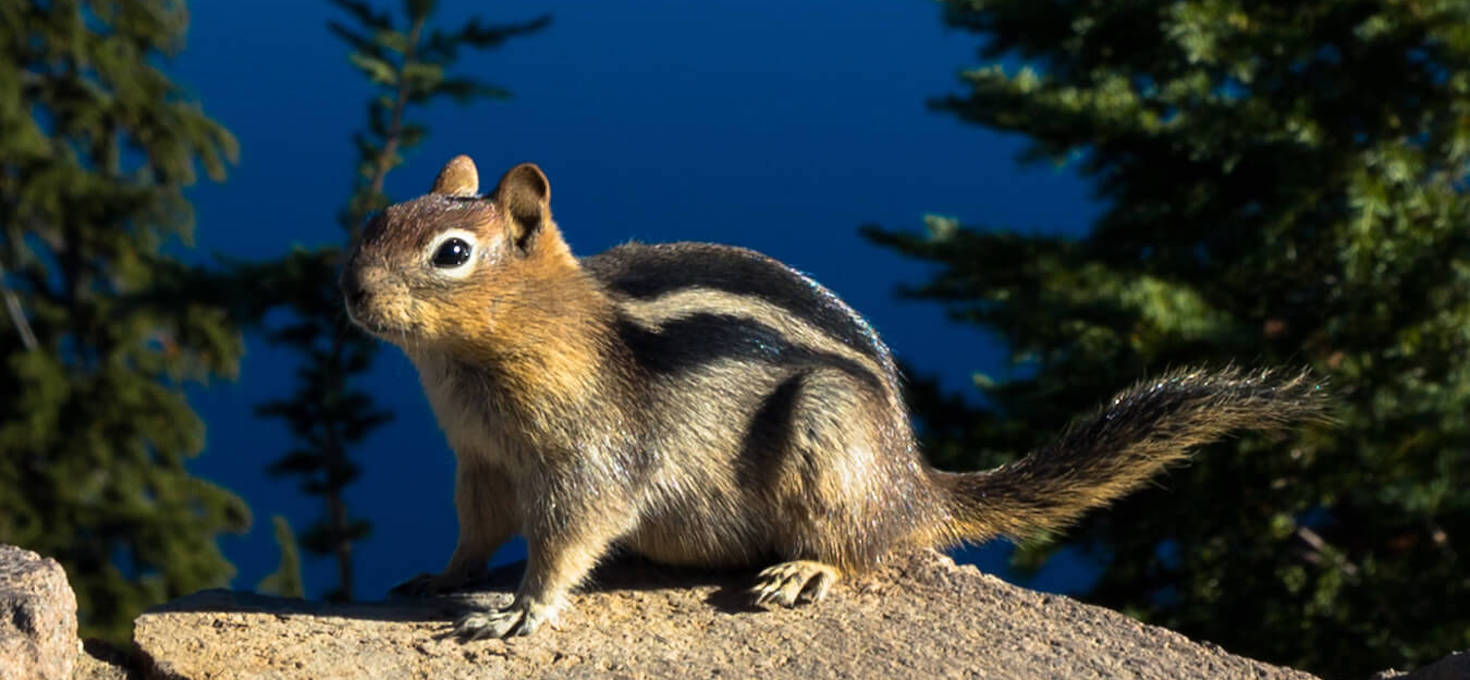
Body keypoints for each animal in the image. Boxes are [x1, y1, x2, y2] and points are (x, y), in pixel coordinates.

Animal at [343, 154, 1334, 640]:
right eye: (375, 221)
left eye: (453, 255)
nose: (350, 293)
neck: (481, 357)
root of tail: (914, 483)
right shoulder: (479, 457)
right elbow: (476, 528)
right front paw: (443, 576)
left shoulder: (591, 454)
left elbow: (571, 533)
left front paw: (522, 609)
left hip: (827, 432)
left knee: (864, 550)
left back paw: (805, 569)